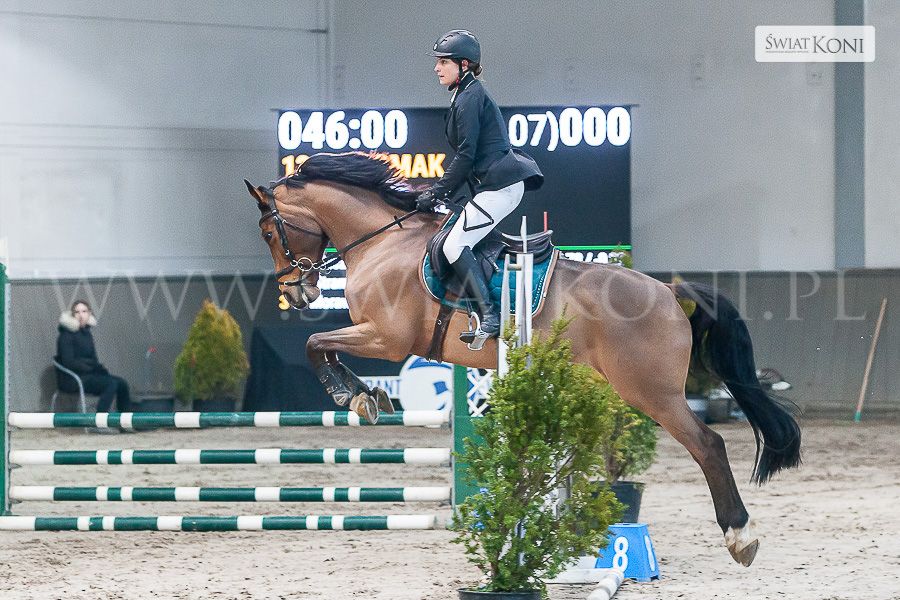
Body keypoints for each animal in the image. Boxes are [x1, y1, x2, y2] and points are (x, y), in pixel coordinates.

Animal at [244, 151, 801, 567]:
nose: (296, 293)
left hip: (651, 392)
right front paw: (367, 395)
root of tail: (668, 291)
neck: (383, 242)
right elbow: (321, 344)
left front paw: (354, 395)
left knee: (708, 445)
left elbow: (316, 344)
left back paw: (740, 536)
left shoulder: (385, 338)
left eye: (271, 233)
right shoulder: (378, 337)